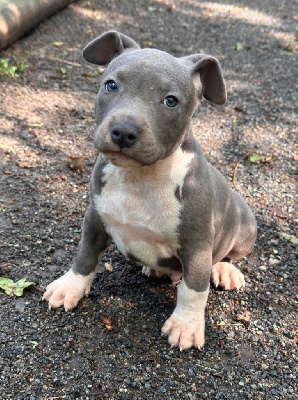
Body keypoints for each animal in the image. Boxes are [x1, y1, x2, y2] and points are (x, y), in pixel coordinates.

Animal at [43, 31, 258, 350]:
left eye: (170, 101)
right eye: (111, 85)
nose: (123, 131)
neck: (140, 177)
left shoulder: (196, 244)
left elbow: (193, 288)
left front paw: (186, 324)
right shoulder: (95, 218)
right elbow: (85, 255)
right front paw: (71, 286)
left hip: (244, 221)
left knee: (228, 255)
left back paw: (224, 270)